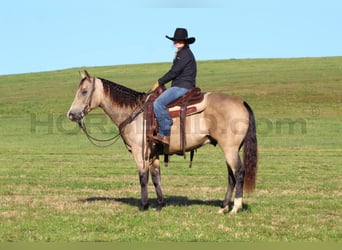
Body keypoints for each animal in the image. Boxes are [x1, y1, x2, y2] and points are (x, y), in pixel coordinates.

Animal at [67, 70, 258, 213]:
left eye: (84, 91)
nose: (71, 115)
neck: (135, 113)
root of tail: (242, 103)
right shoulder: (153, 155)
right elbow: (156, 178)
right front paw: (160, 204)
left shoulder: (139, 153)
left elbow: (143, 177)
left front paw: (144, 206)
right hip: (230, 149)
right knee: (231, 176)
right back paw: (223, 207)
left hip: (230, 149)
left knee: (239, 172)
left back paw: (235, 207)